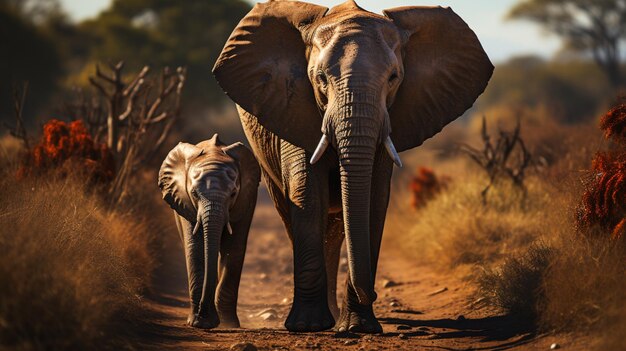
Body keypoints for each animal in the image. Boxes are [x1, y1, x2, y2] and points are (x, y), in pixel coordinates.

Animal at [161, 135, 260, 330]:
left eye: (233, 194)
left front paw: (228, 324)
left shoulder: (246, 200)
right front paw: (199, 323)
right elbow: (195, 248)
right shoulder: (185, 203)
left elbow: (234, 248)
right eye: (194, 193)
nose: (202, 314)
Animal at [212, 0, 490, 334]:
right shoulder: (292, 106)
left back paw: (334, 316)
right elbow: (307, 195)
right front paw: (307, 326)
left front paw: (359, 327)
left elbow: (372, 200)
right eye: (320, 77)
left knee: (334, 230)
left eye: (393, 77)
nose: (374, 292)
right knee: (292, 214)